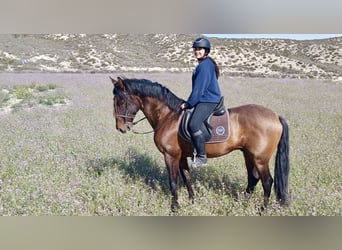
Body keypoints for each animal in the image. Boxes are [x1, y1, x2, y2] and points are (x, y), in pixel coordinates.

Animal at [111, 76, 290, 211]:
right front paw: (192, 201)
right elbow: (187, 178)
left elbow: (173, 182)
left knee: (267, 181)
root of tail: (275, 116)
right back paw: (242, 201)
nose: (120, 128)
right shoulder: (181, 157)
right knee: (253, 178)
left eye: (121, 101)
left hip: (260, 158)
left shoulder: (170, 156)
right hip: (248, 155)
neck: (168, 116)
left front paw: (174, 207)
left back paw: (263, 209)